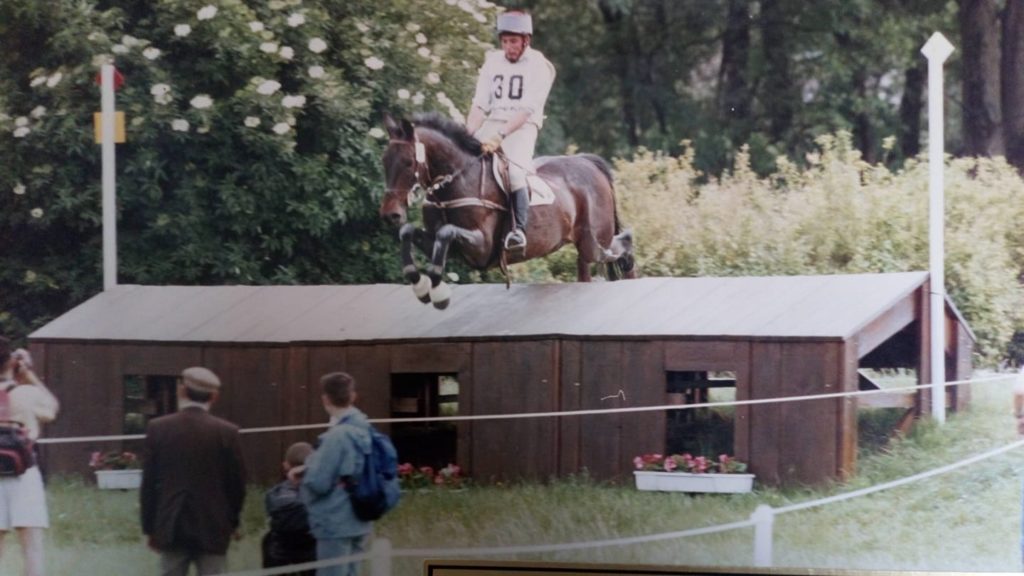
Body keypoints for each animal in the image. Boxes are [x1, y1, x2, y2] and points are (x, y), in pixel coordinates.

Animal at [376, 113, 630, 309]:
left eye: (409, 163)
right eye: (384, 161)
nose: (390, 214)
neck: (455, 182)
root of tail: (588, 161)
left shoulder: (482, 247)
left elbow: (445, 231)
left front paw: (438, 293)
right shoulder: (451, 246)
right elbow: (409, 231)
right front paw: (419, 285)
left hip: (594, 243)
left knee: (624, 245)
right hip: (585, 248)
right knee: (586, 270)